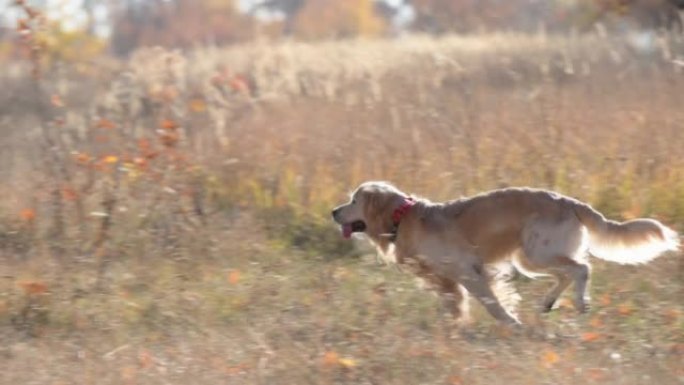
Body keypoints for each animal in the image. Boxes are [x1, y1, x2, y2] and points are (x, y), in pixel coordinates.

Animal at [332, 181, 680, 324]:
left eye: (353, 200)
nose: (333, 211)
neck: (404, 216)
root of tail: (570, 201)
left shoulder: (468, 271)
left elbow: (493, 304)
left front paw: (512, 323)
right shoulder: (448, 280)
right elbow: (455, 305)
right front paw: (455, 327)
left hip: (537, 253)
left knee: (582, 269)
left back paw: (581, 304)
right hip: (528, 258)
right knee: (569, 272)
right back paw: (549, 302)